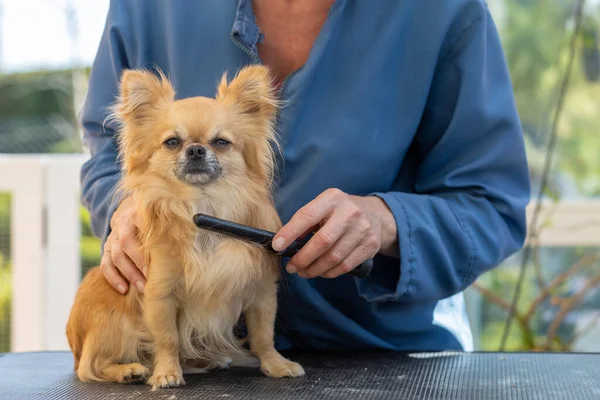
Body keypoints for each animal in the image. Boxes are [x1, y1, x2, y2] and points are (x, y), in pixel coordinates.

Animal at [67, 65, 304, 390]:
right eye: (172, 142)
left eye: (221, 142)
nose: (195, 150)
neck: (204, 207)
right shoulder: (160, 293)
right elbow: (167, 339)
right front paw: (167, 373)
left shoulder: (262, 291)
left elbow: (263, 335)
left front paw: (276, 364)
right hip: (116, 324)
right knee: (92, 366)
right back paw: (130, 370)